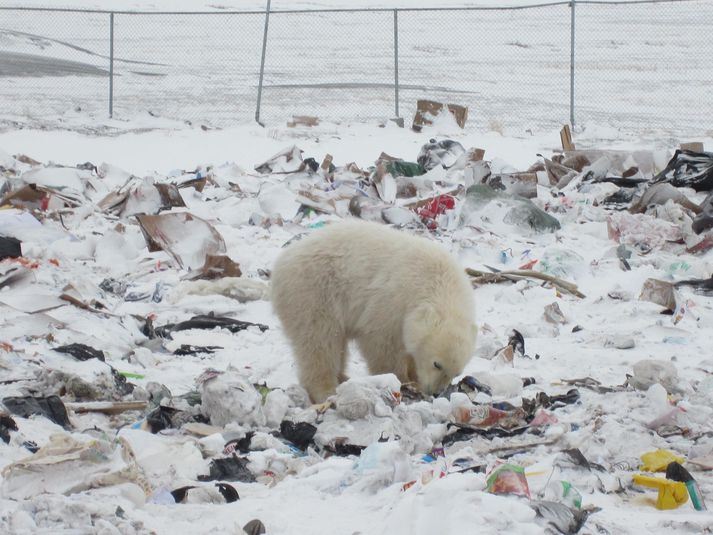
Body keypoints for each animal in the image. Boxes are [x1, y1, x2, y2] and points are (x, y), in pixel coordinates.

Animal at [270, 219, 476, 402]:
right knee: (319, 341)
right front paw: (402, 380)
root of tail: (280, 264)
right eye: (437, 364)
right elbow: (382, 343)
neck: (440, 283)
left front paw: (413, 377)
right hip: (315, 291)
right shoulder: (394, 299)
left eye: (457, 372)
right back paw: (326, 390)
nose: (435, 392)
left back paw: (343, 377)